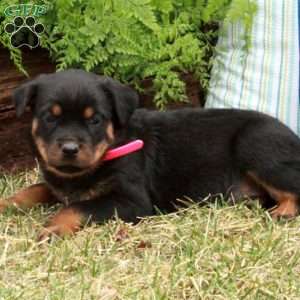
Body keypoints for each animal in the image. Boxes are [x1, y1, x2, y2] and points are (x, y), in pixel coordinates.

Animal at [1, 68, 300, 239]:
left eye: (94, 120)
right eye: (50, 118)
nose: (70, 149)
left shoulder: (132, 202)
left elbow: (77, 207)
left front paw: (52, 228)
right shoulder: (58, 183)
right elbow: (34, 189)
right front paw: (6, 203)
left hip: (255, 144)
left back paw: (281, 214)